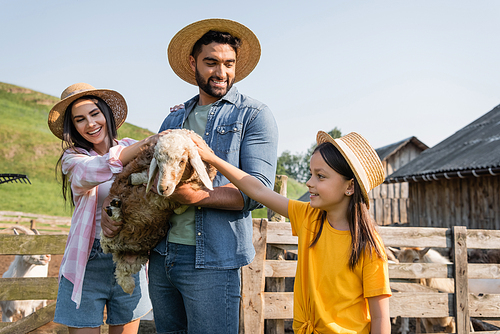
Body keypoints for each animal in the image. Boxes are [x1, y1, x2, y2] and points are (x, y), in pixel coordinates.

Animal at [100, 129, 217, 294]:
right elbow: (142, 176)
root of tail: (118, 249)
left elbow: (184, 202)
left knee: (122, 275)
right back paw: (114, 210)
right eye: (158, 161)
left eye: (182, 161)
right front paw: (135, 178)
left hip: (136, 258)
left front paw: (179, 206)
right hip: (107, 235)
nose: (163, 188)